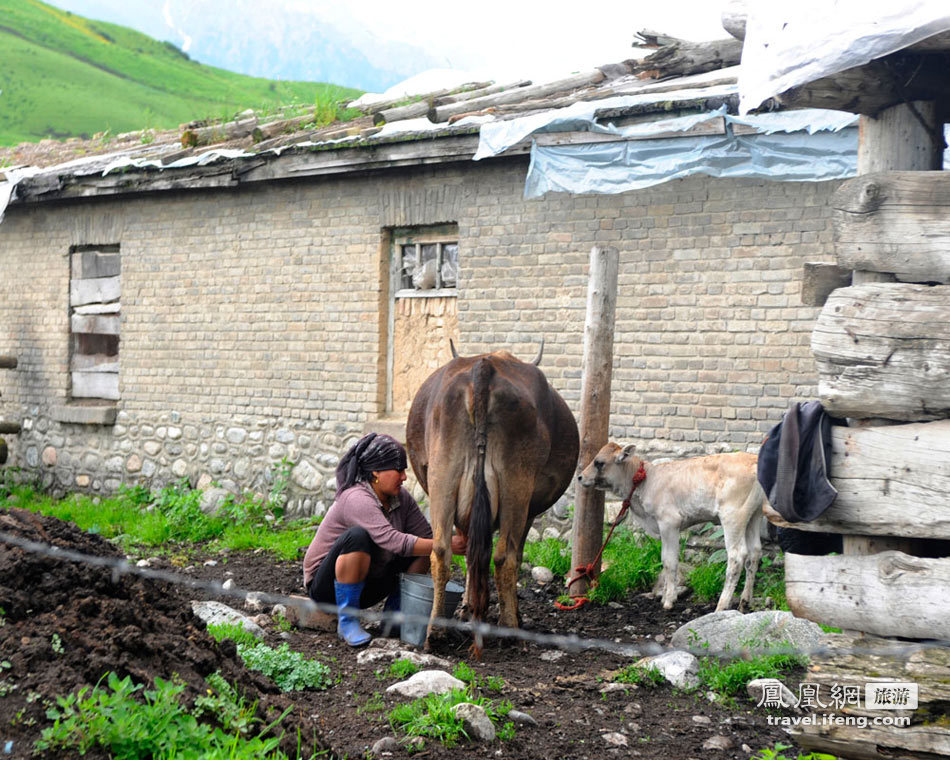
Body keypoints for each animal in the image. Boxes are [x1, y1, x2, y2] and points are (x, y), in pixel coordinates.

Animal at [404, 348, 576, 652]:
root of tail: (485, 365)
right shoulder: (529, 511)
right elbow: (514, 556)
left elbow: (470, 555)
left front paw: (467, 608)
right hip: (516, 485)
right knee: (505, 557)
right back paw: (510, 629)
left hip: (442, 475)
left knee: (441, 551)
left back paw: (436, 631)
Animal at [580, 446, 768, 612]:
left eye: (599, 462)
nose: (580, 477)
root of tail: (752, 460)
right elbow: (665, 560)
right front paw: (666, 595)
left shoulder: (669, 522)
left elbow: (670, 561)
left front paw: (669, 600)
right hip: (753, 516)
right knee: (754, 553)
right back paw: (745, 601)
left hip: (732, 516)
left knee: (737, 556)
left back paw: (721, 606)